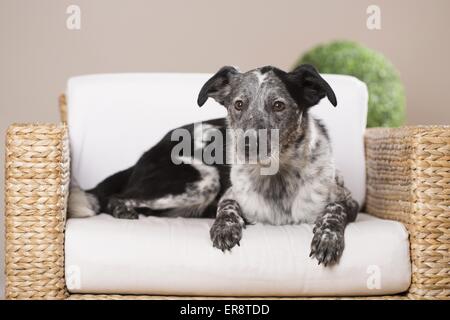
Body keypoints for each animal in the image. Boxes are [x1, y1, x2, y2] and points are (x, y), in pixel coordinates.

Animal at [68, 64, 358, 264]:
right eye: (238, 104)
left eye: (278, 105)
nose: (247, 145)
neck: (276, 179)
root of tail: (146, 154)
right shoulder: (228, 193)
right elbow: (227, 207)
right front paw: (225, 227)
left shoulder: (347, 199)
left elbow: (335, 210)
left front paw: (327, 238)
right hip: (202, 179)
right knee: (117, 197)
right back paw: (124, 210)